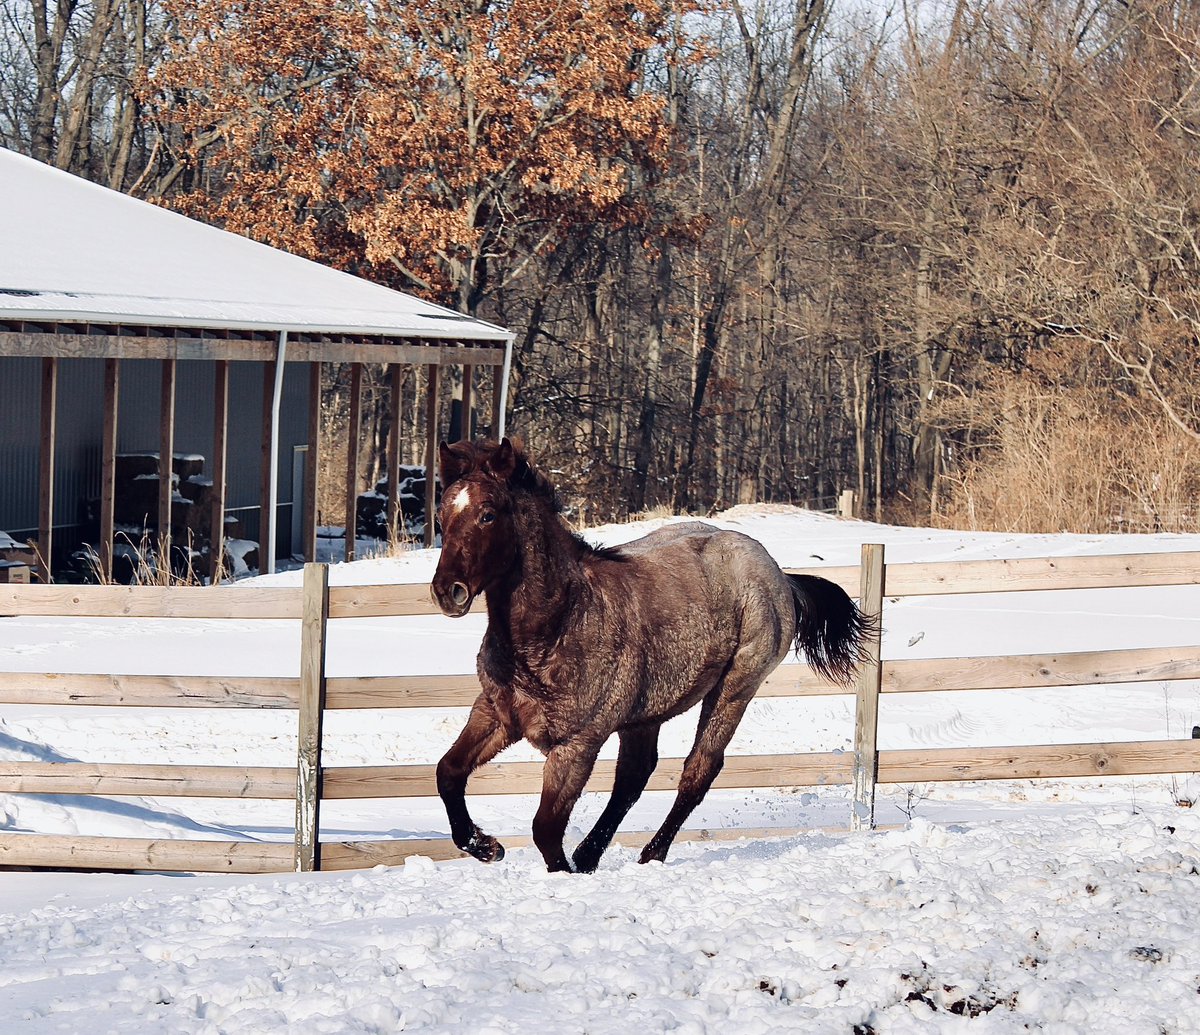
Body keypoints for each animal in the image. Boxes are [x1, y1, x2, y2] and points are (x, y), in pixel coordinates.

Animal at [430, 437, 871, 873]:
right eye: (442, 515)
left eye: (488, 515)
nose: (447, 591)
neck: (553, 631)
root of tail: (779, 574)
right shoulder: (495, 714)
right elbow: (448, 773)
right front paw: (486, 846)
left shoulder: (577, 744)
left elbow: (546, 828)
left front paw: (553, 869)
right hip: (647, 713)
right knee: (634, 776)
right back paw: (589, 855)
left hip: (735, 689)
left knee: (697, 771)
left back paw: (650, 855)